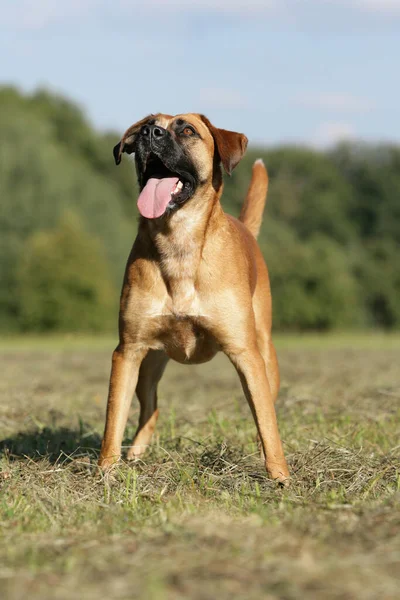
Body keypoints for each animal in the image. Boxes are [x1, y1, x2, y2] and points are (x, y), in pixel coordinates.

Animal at [98, 115, 290, 486]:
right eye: (147, 124)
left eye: (187, 130)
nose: (150, 133)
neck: (179, 242)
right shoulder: (127, 351)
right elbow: (114, 418)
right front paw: (106, 472)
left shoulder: (246, 354)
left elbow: (266, 422)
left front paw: (280, 477)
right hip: (149, 365)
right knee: (150, 409)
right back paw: (136, 453)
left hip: (265, 354)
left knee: (267, 410)